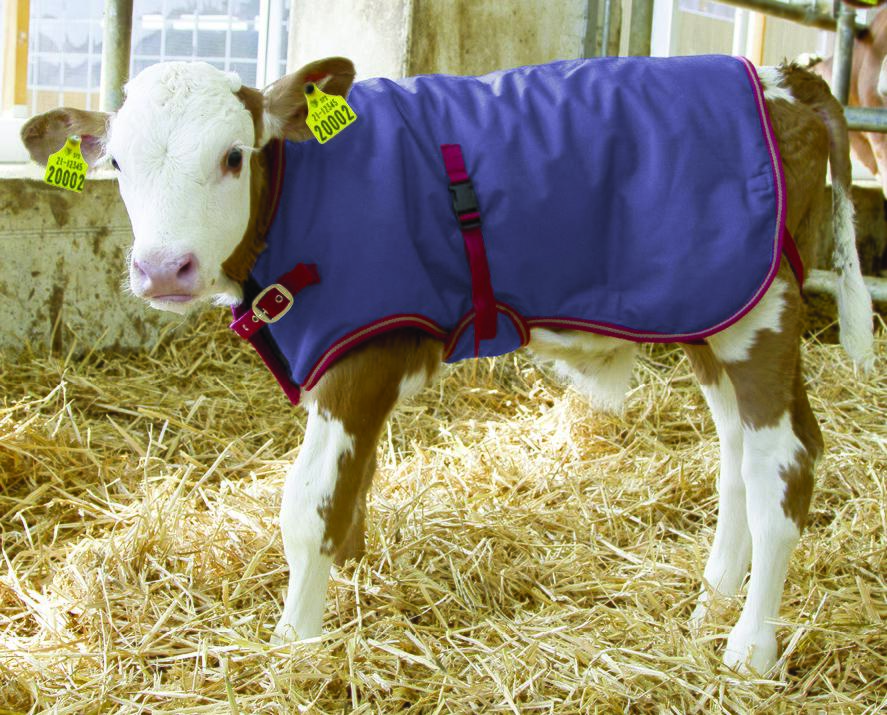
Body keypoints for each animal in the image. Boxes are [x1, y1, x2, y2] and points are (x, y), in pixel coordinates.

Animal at [20, 56, 874, 676]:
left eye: (232, 156)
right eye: (118, 163)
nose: (163, 268)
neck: (301, 192)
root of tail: (786, 76)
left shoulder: (361, 352)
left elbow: (310, 506)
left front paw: (294, 642)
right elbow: (352, 494)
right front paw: (350, 595)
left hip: (761, 318)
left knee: (785, 462)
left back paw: (748, 646)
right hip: (716, 313)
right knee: (737, 459)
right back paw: (706, 606)